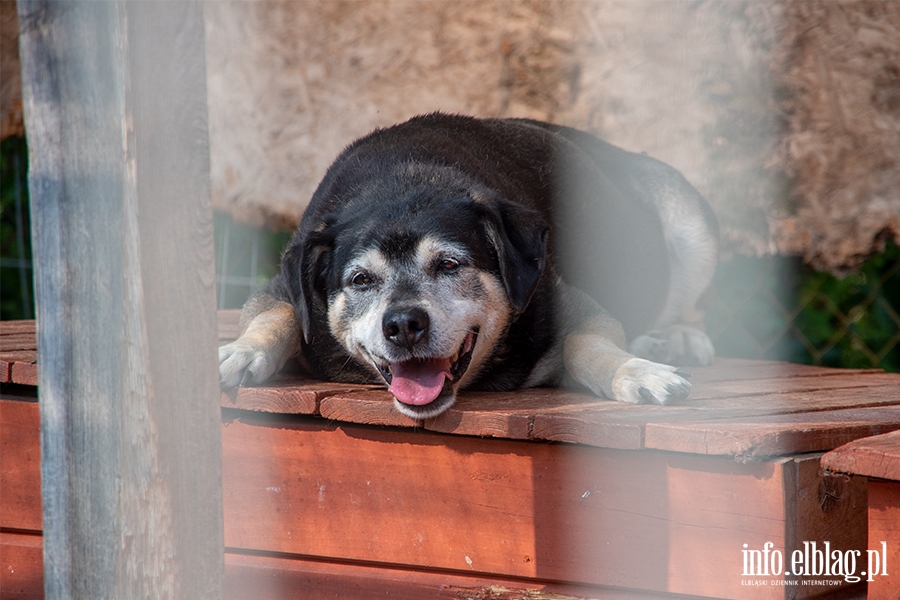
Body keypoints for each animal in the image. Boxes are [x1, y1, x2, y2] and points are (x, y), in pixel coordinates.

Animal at [218, 115, 716, 420]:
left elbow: (585, 343)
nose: (403, 324)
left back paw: (677, 340)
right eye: (360, 280)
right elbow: (277, 313)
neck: (403, 179)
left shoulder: (570, 302)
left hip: (692, 225)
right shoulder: (284, 284)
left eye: (449, 264)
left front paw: (638, 373)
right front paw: (240, 352)